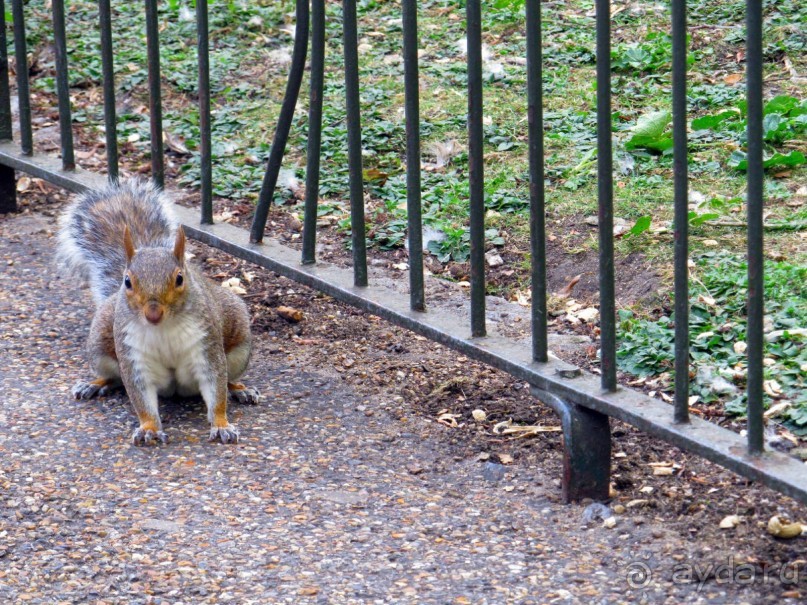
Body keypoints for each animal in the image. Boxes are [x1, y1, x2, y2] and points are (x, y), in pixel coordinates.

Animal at [60, 179, 262, 444]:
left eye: (180, 278)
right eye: (127, 281)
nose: (153, 314)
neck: (164, 328)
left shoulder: (207, 347)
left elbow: (216, 387)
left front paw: (221, 425)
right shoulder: (133, 355)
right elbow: (140, 397)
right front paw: (149, 428)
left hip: (239, 345)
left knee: (228, 379)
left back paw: (240, 389)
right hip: (99, 344)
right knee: (114, 377)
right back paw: (94, 384)